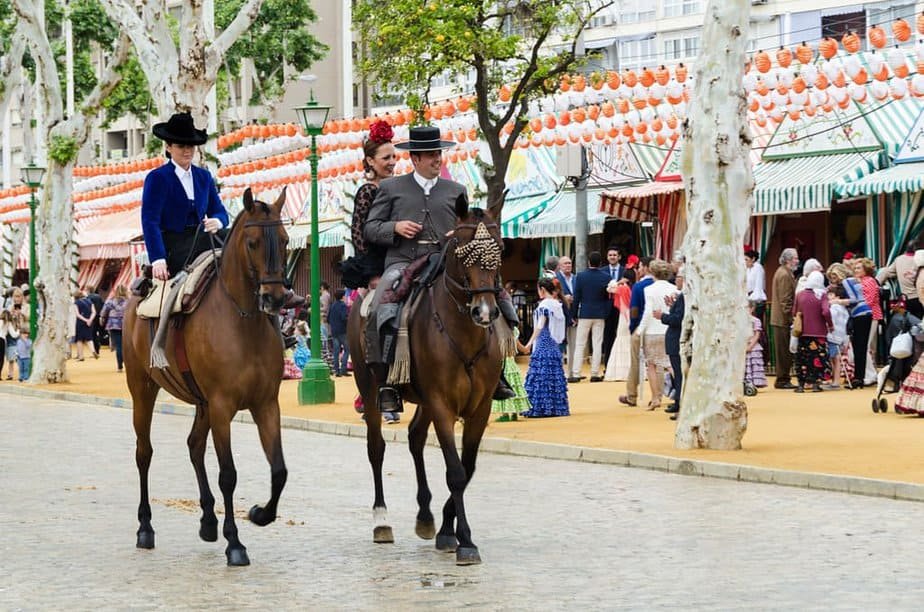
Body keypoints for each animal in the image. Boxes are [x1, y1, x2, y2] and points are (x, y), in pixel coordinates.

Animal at [122, 186, 288, 564]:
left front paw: (260, 514)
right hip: (143, 389)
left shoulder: (266, 405)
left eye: (286, 240)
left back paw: (209, 520)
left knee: (194, 446)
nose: (274, 298)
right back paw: (144, 527)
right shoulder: (223, 406)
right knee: (143, 453)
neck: (242, 319)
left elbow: (279, 470)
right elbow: (228, 474)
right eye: (253, 242)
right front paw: (235, 543)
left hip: (201, 402)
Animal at [346, 198, 506, 568]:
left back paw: (425, 516)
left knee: (415, 438)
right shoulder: (442, 403)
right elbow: (456, 472)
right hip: (370, 388)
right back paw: (382, 521)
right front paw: (465, 541)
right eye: (461, 252)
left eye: (499, 249)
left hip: (425, 400)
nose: (485, 312)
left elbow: (467, 468)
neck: (464, 333)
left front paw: (448, 531)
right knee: (376, 448)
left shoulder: (480, 408)